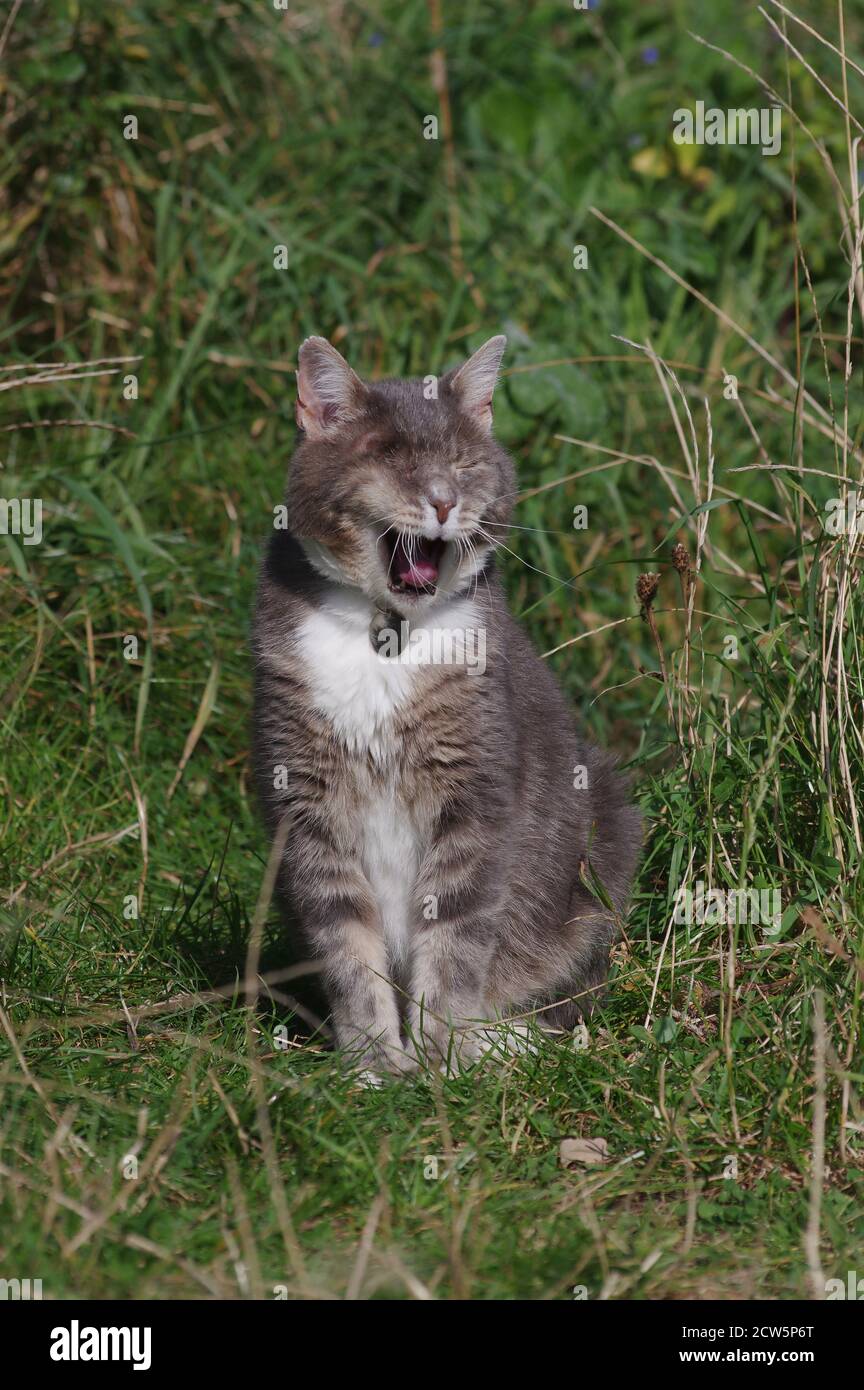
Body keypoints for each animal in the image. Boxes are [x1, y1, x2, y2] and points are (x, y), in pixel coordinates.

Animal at [250, 333, 644, 1073]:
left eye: (464, 463)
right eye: (393, 461)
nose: (442, 500)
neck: (386, 634)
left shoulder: (477, 791)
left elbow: (456, 934)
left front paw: (443, 1064)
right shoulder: (308, 802)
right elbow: (347, 945)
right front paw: (376, 1066)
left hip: (603, 832)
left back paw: (500, 1042)